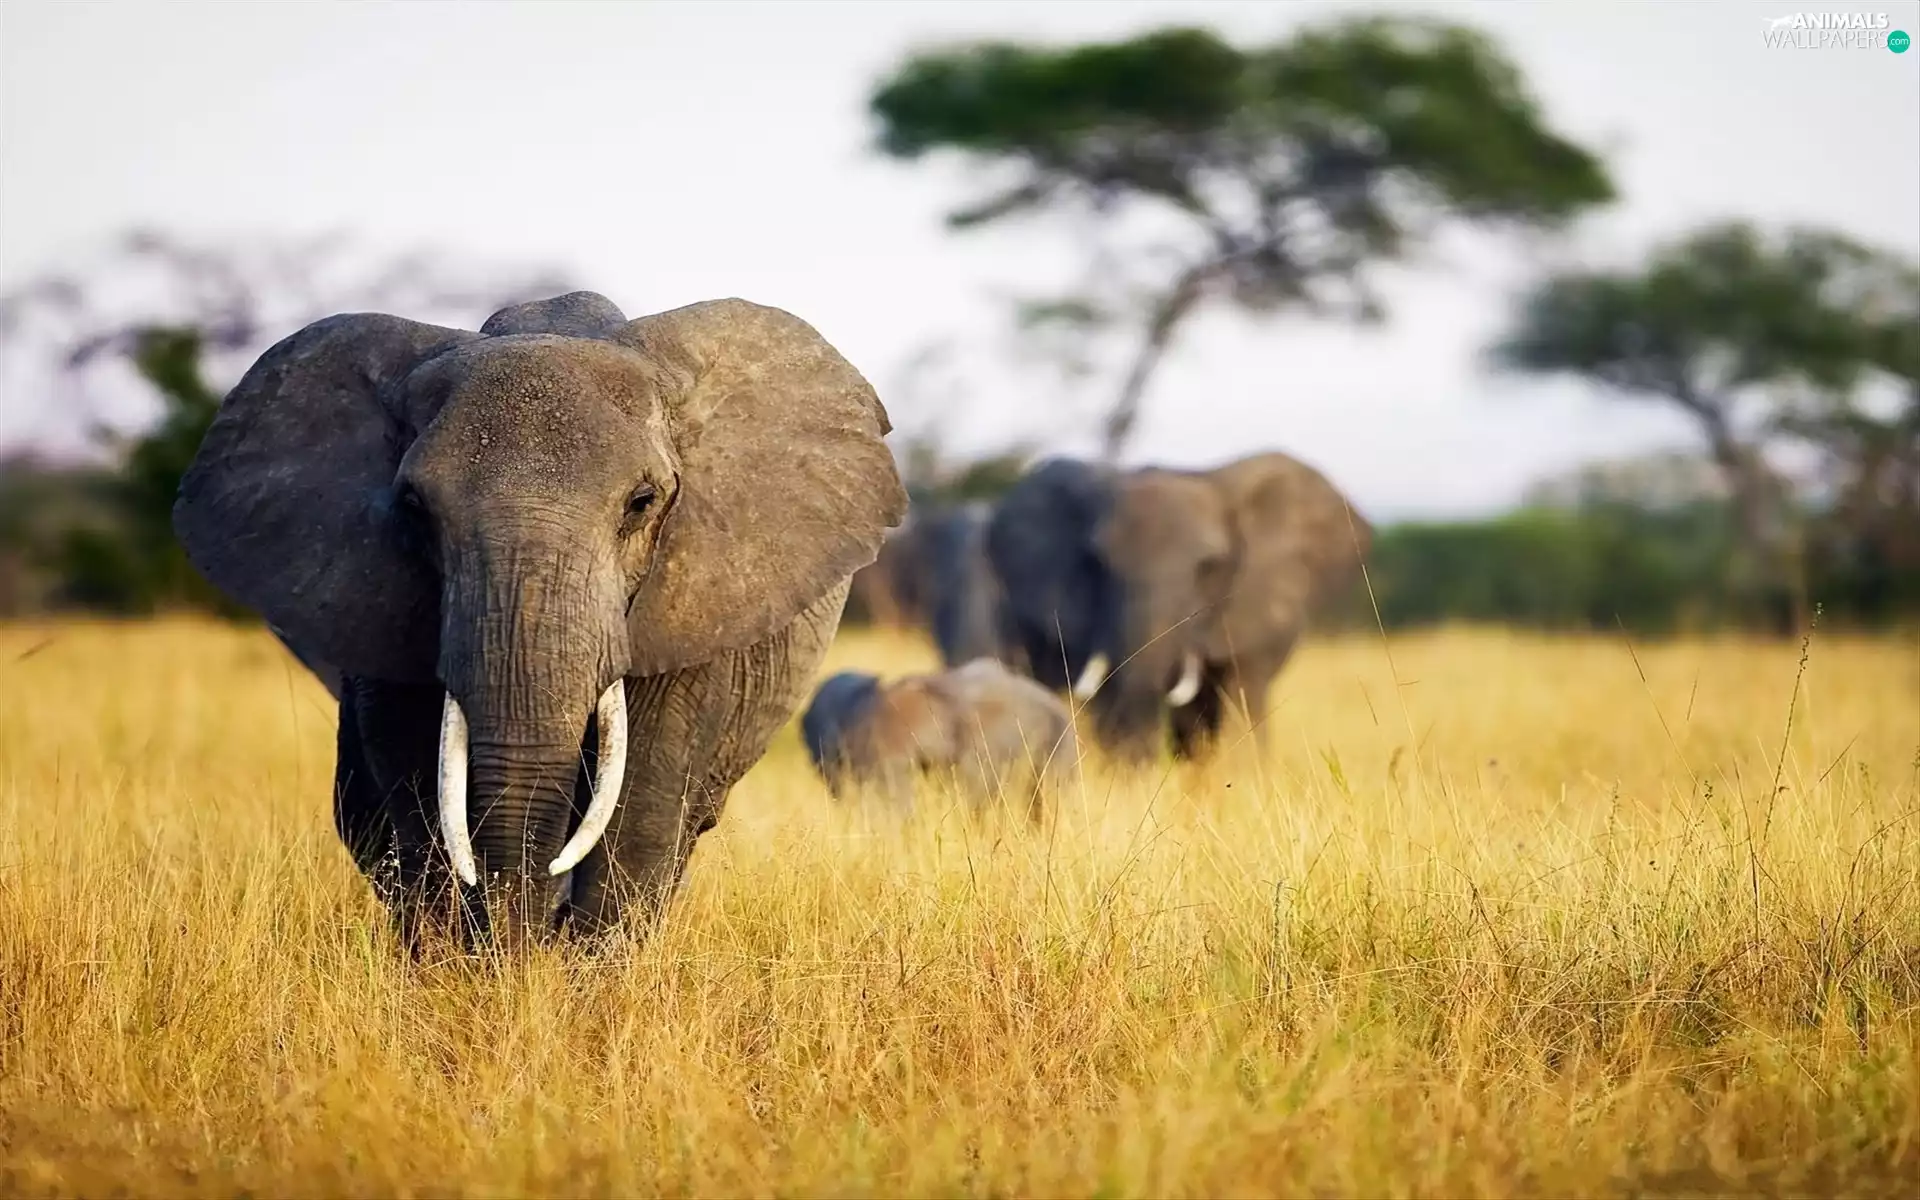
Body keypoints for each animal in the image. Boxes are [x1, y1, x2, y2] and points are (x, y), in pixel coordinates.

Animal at [171, 290, 907, 948]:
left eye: (642, 502)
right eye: (413, 508)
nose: (522, 949)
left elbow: (642, 801)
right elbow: (416, 786)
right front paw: (461, 979)